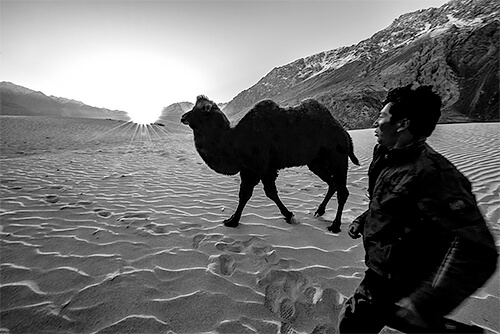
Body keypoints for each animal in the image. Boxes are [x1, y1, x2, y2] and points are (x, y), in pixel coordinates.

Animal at [180, 95, 360, 234]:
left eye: (198, 109)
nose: (183, 117)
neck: (233, 140)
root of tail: (345, 133)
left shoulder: (259, 167)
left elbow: (258, 194)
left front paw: (233, 221)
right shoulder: (252, 169)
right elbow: (254, 194)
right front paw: (232, 219)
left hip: (338, 157)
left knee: (342, 190)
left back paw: (335, 226)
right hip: (316, 162)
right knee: (332, 183)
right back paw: (319, 211)